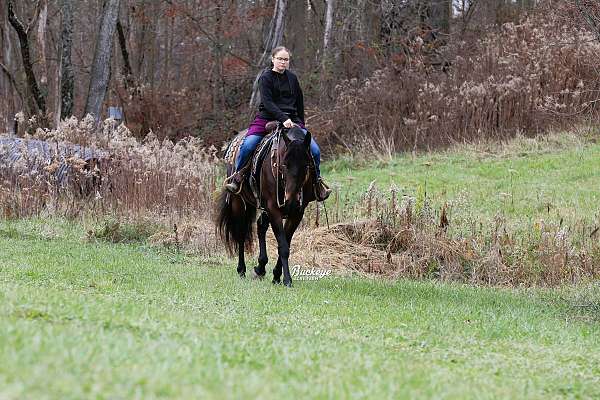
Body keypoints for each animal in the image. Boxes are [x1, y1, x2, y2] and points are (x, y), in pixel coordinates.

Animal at [217, 126, 318, 286]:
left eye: (307, 165)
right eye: (285, 164)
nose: (291, 200)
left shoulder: (296, 213)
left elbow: (286, 242)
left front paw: (276, 275)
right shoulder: (273, 209)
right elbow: (283, 246)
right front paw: (287, 279)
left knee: (260, 225)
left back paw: (260, 267)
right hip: (238, 202)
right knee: (241, 233)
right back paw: (242, 269)